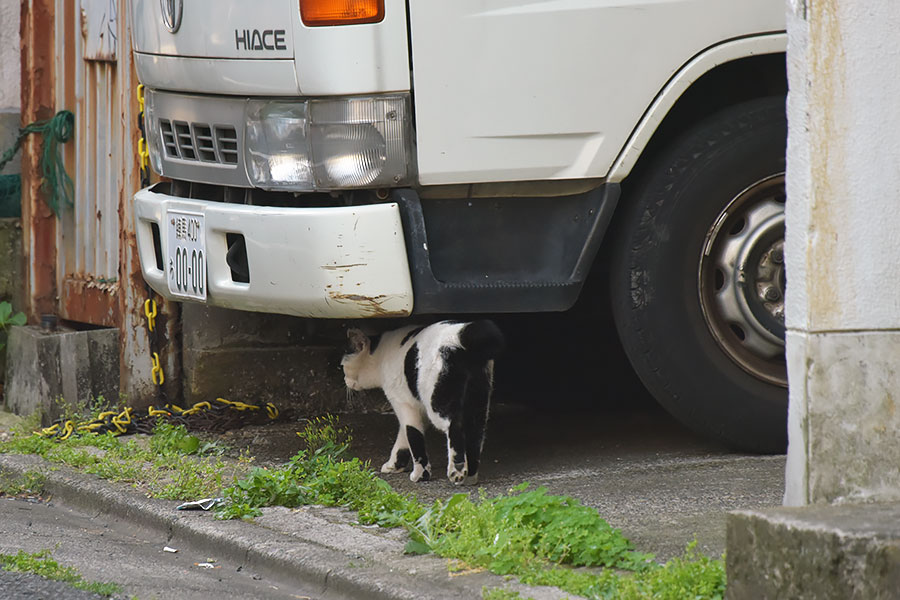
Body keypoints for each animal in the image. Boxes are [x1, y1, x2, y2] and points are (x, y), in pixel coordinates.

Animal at [342, 322, 502, 486]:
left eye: (342, 366)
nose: (344, 380)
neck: (380, 356)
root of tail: (461, 334)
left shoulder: (403, 403)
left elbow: (414, 437)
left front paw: (420, 474)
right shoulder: (418, 409)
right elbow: (403, 438)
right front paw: (394, 465)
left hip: (438, 405)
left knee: (455, 428)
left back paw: (456, 471)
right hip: (477, 404)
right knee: (476, 436)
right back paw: (471, 476)